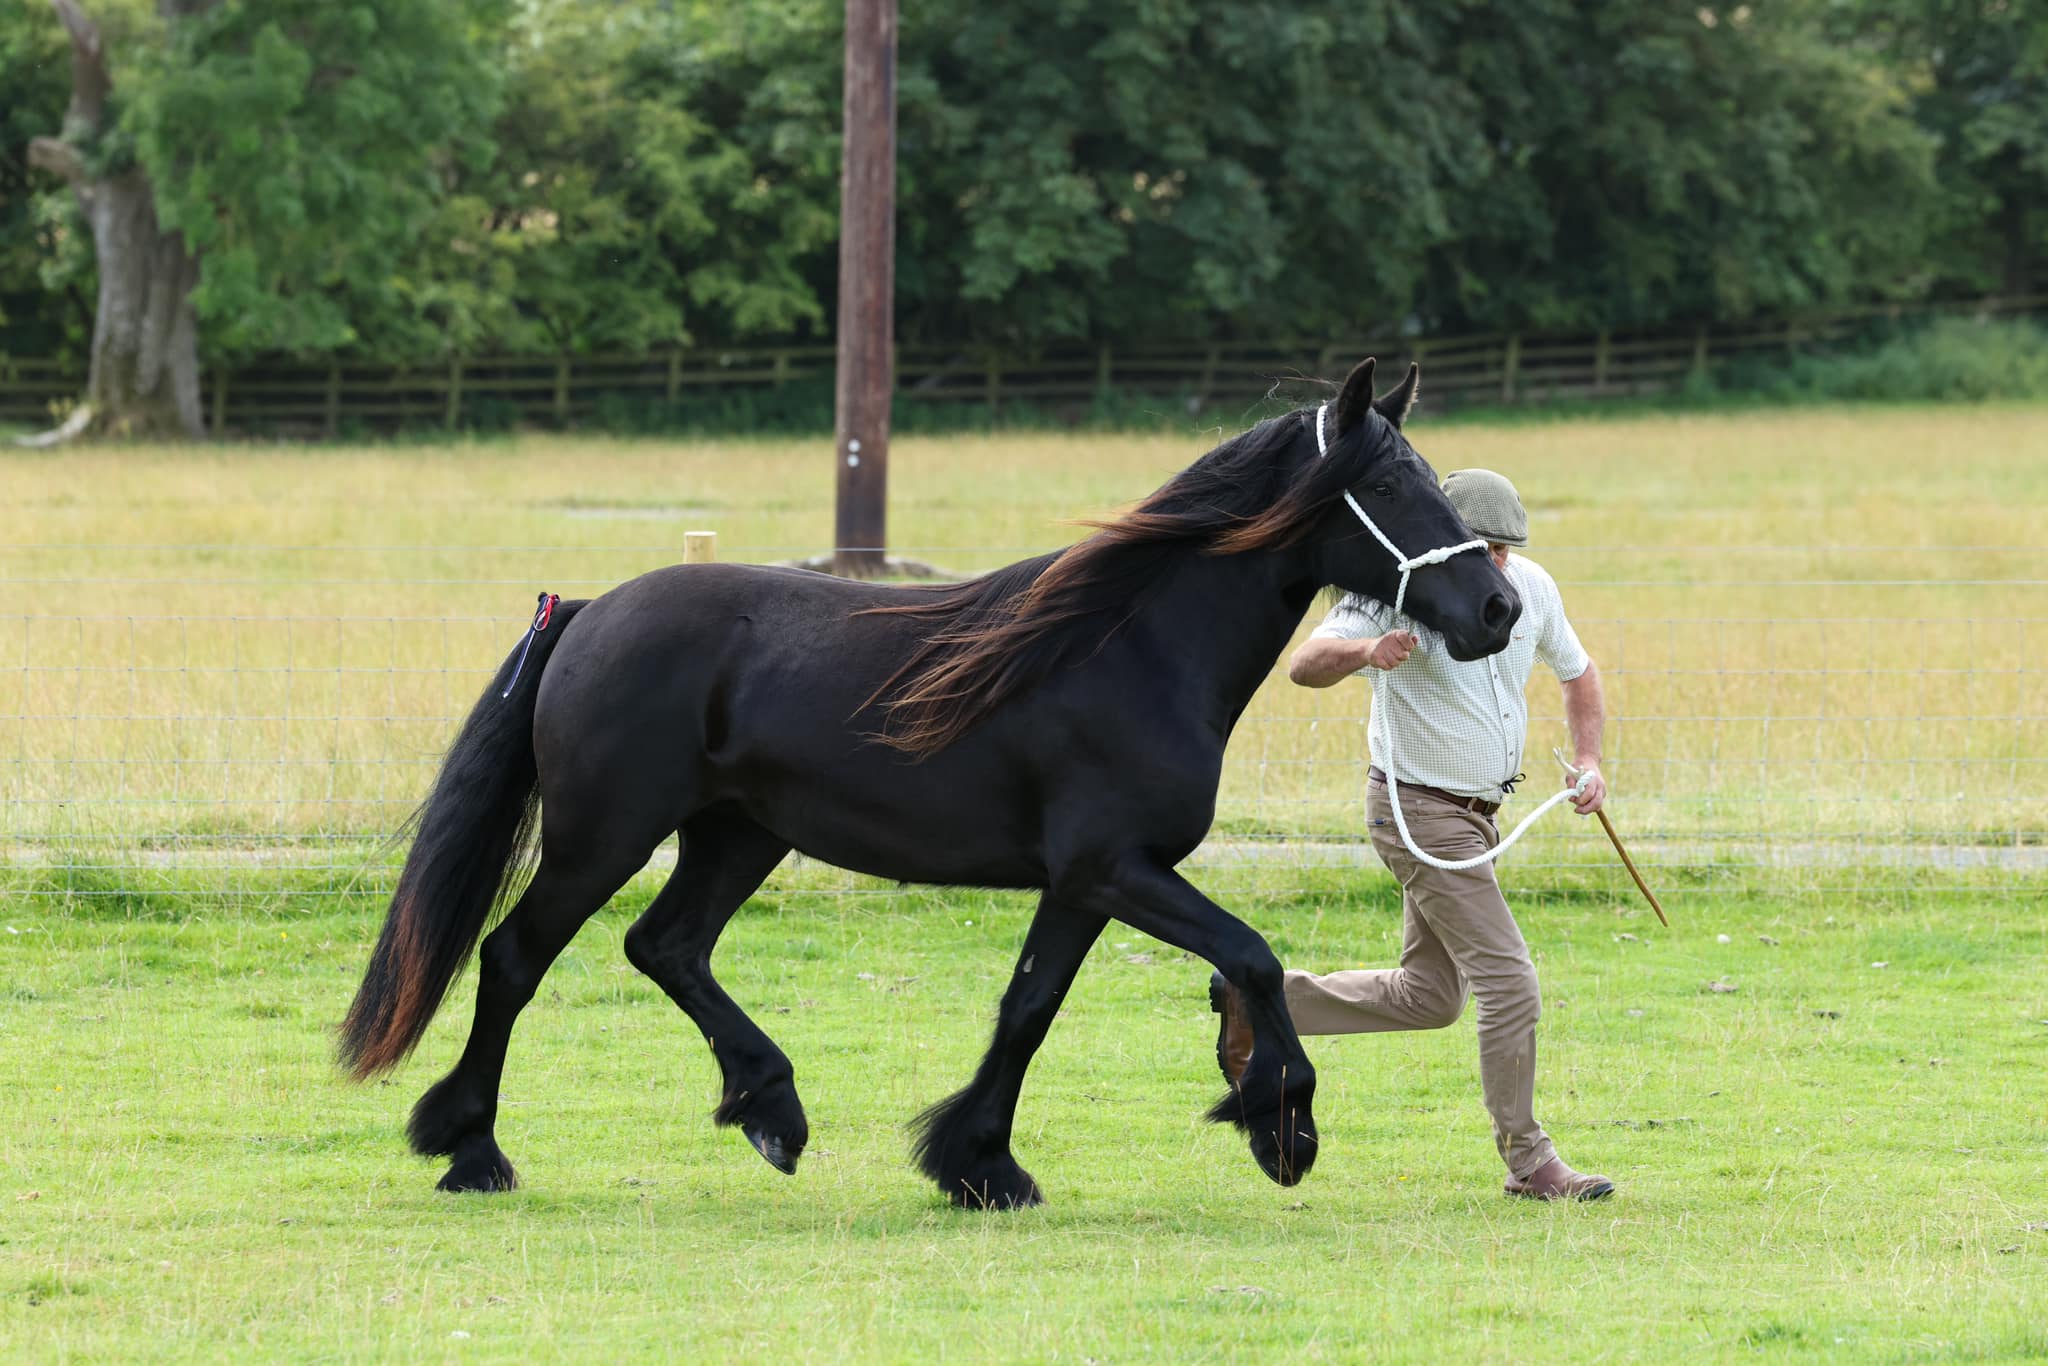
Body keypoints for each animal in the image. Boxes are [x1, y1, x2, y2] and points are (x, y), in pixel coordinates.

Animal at [338, 359, 1520, 1207]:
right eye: (1385, 485)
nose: (1497, 611)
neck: (1130, 649)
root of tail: (587, 612)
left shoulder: (1081, 884)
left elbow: (1029, 1006)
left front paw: (977, 1163)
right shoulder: (1117, 868)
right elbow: (1252, 958)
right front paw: (1281, 1121)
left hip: (736, 835)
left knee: (664, 946)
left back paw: (772, 1110)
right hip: (604, 836)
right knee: (514, 957)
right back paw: (471, 1150)